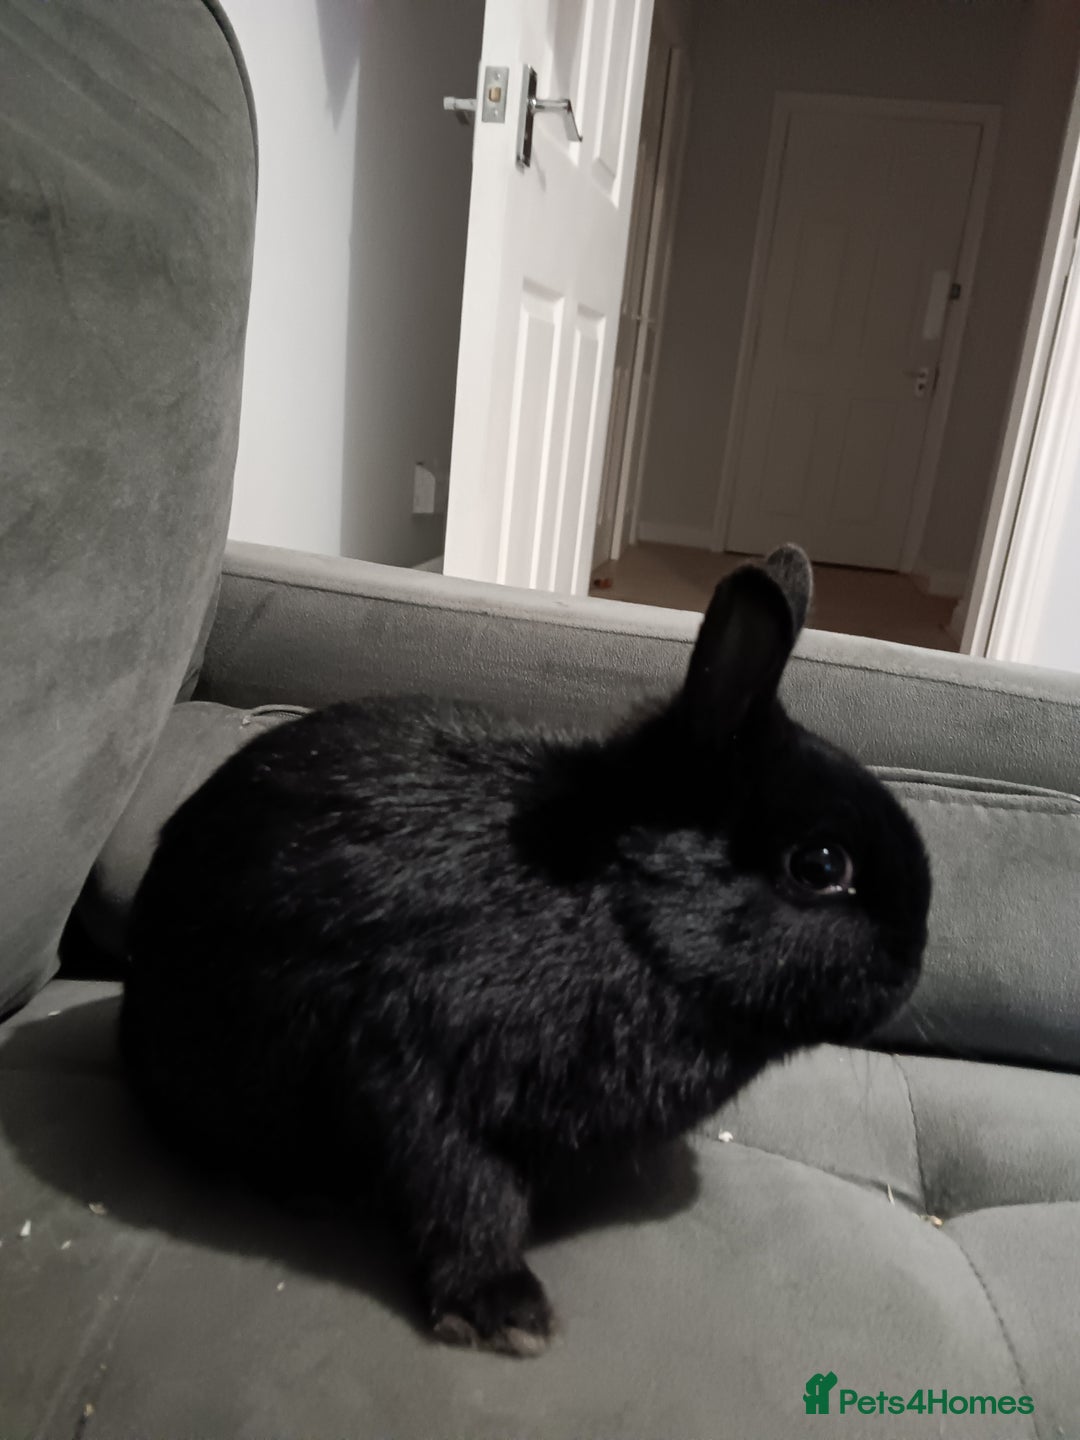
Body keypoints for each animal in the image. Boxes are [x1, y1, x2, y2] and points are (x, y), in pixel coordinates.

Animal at [120, 544, 931, 1357]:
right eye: (821, 866)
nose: (913, 964)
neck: (620, 913)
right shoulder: (424, 1070)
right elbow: (466, 1191)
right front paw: (505, 1316)